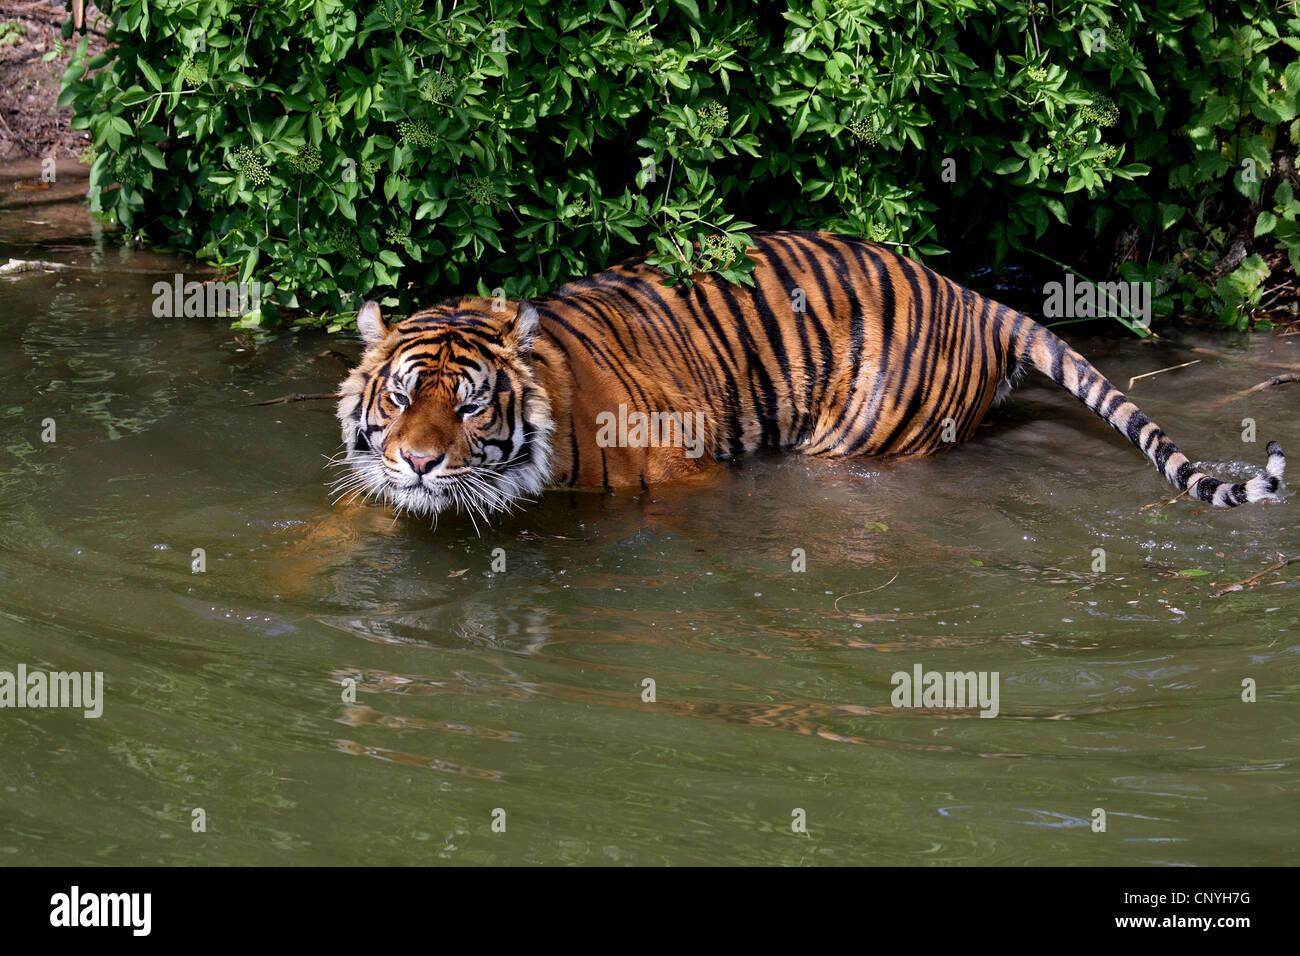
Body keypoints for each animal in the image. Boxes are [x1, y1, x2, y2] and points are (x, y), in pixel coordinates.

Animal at [330, 228, 1284, 522]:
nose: (419, 462)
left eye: (472, 408)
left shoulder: (686, 472)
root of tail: (975, 296)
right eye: (403, 397)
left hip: (859, 438)